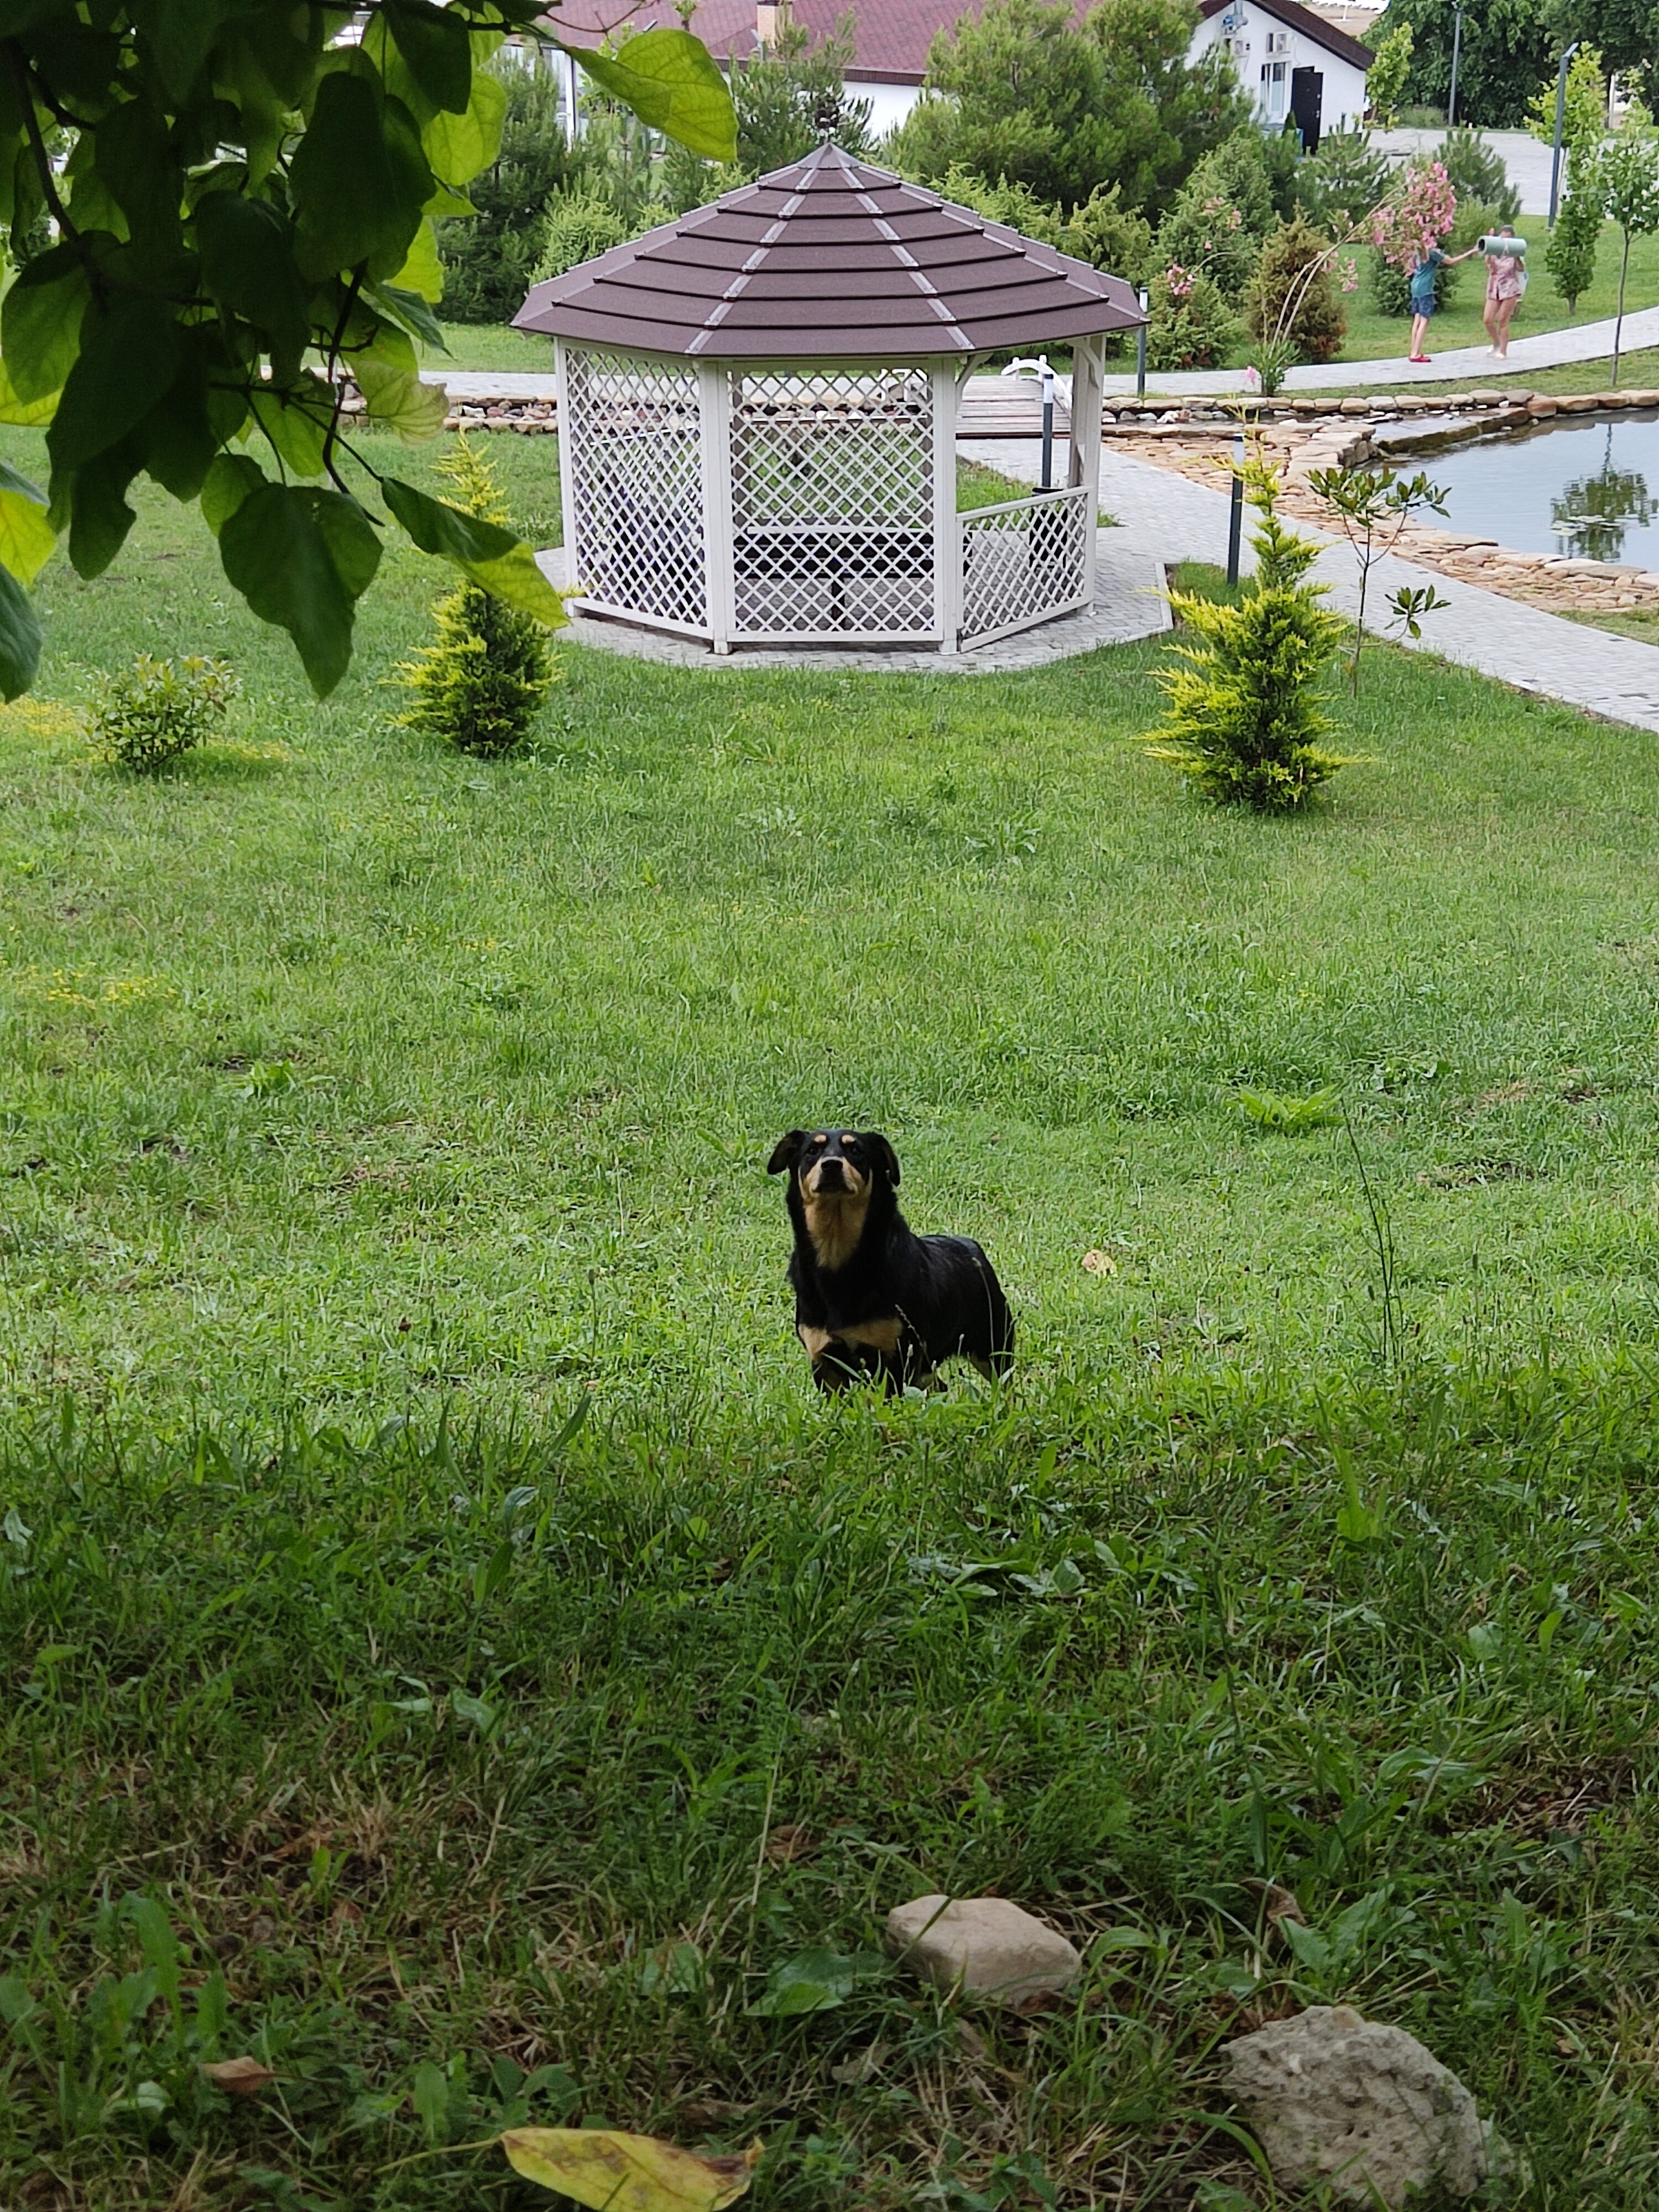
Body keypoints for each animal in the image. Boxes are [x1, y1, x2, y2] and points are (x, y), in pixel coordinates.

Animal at [766, 1128, 1014, 1393]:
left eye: (856, 1151)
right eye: (812, 1151)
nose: (831, 1164)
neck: (839, 1258)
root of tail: (972, 1247)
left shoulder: (896, 1358)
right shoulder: (825, 1363)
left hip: (993, 1347)